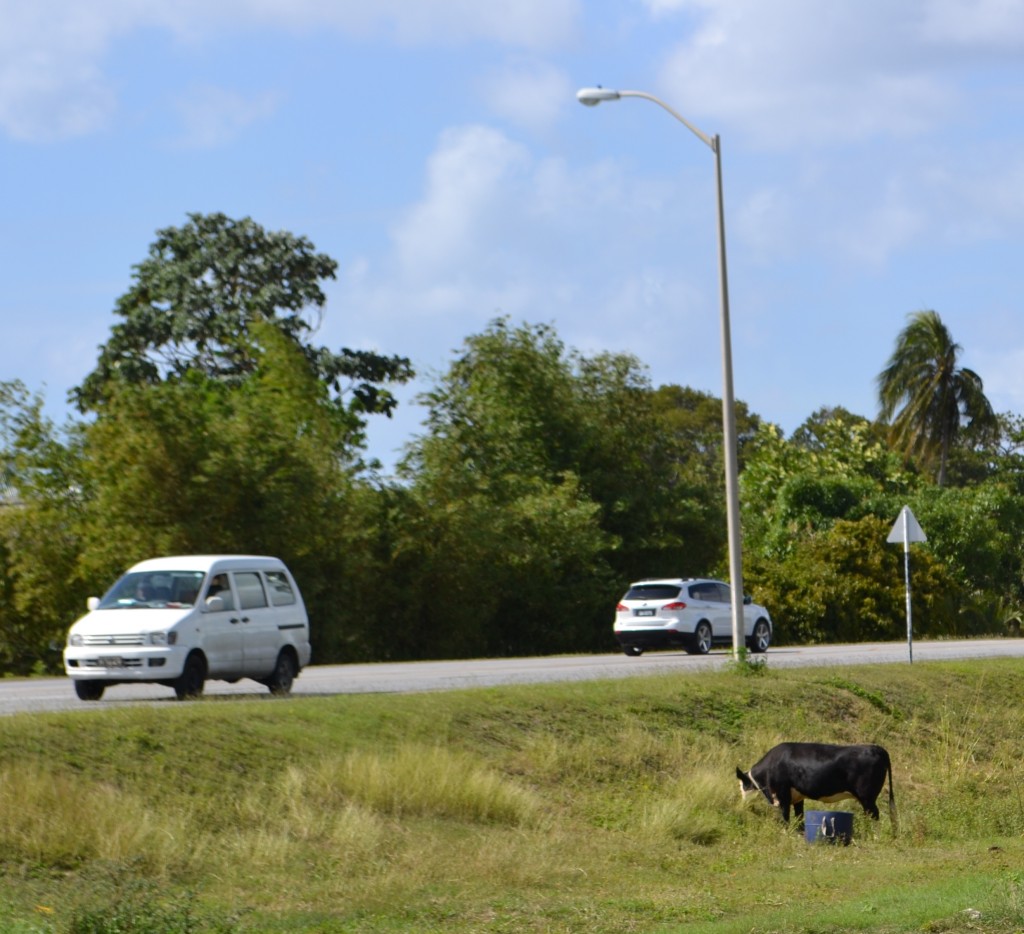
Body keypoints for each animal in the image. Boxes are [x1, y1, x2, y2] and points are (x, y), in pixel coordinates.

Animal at [737, 741, 897, 819]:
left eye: (742, 786)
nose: (743, 806)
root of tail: (877, 748)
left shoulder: (783, 796)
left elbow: (785, 817)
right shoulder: (797, 796)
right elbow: (799, 817)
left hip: (867, 796)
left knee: (873, 815)